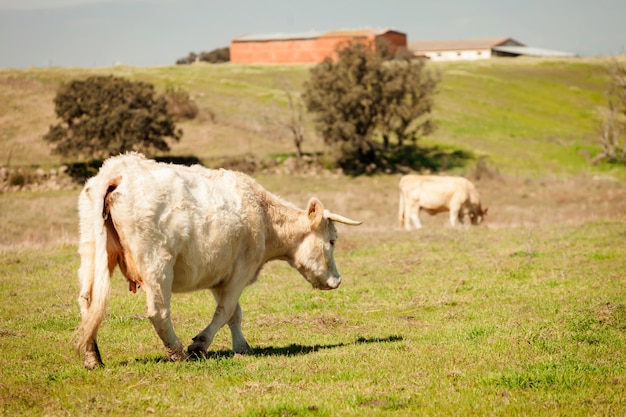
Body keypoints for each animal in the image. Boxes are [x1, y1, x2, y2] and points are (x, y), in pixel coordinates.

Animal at [76, 153, 360, 368]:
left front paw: (242, 347)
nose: (337, 280)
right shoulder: (240, 272)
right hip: (157, 264)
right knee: (158, 311)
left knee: (88, 302)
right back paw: (178, 352)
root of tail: (118, 170)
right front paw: (199, 345)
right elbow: (225, 311)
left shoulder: (220, 275)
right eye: (332, 240)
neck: (263, 216)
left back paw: (92, 358)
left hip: (91, 252)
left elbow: (235, 314)